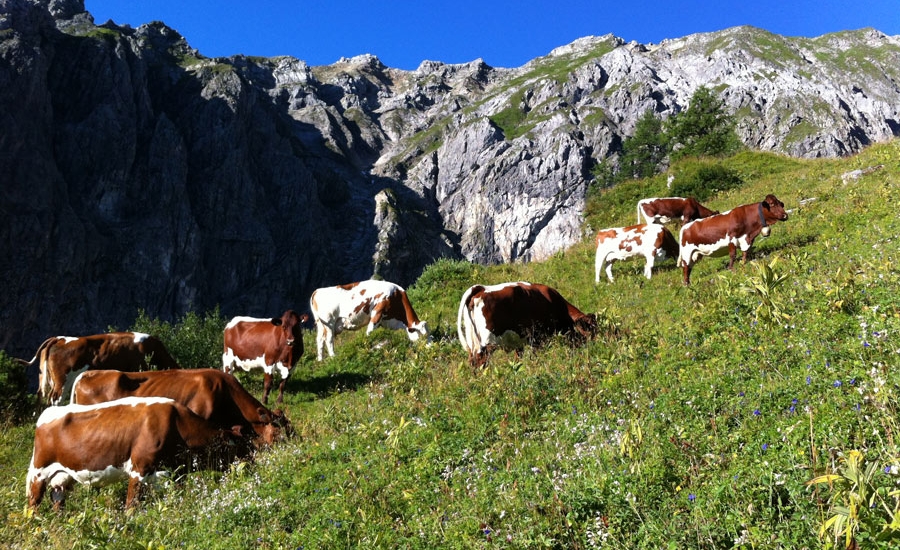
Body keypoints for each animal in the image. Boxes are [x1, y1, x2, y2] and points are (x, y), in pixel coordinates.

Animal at [26, 396, 243, 512]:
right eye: (232, 448)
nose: (245, 467)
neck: (177, 423)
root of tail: (48, 412)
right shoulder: (140, 468)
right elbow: (132, 505)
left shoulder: (175, 472)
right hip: (39, 472)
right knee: (33, 504)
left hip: (62, 477)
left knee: (57, 501)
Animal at [458, 282, 596, 368]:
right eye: (589, 331)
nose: (593, 348)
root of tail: (480, 288)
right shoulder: (538, 338)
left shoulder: (520, 343)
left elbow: (518, 360)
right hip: (488, 341)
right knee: (481, 360)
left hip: (473, 341)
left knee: (472, 361)